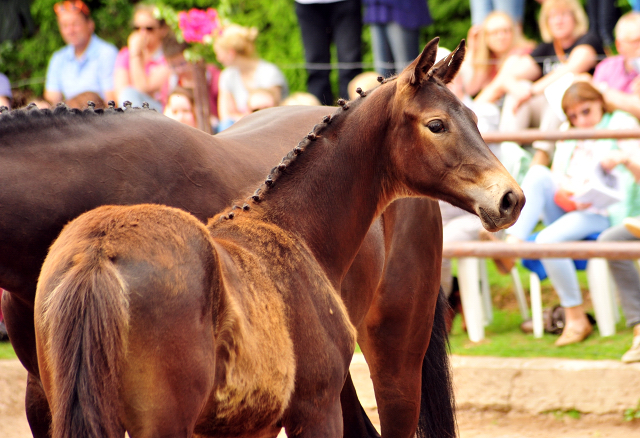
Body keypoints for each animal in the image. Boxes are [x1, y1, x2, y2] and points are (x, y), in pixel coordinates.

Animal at [32, 38, 524, 438]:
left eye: (475, 116)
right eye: (437, 124)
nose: (510, 199)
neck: (293, 227)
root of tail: (99, 255)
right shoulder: (316, 409)